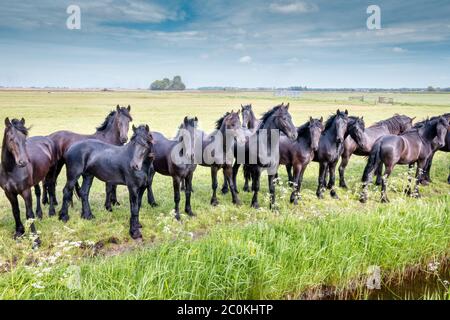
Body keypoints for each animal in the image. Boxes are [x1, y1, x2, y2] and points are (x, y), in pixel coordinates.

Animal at [0, 117, 57, 245]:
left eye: (24, 139)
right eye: (11, 139)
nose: (23, 162)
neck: (10, 170)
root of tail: (47, 139)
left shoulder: (25, 191)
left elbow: (29, 213)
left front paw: (35, 239)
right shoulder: (9, 193)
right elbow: (15, 211)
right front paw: (19, 232)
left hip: (51, 172)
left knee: (51, 189)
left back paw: (51, 212)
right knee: (38, 192)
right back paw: (39, 214)